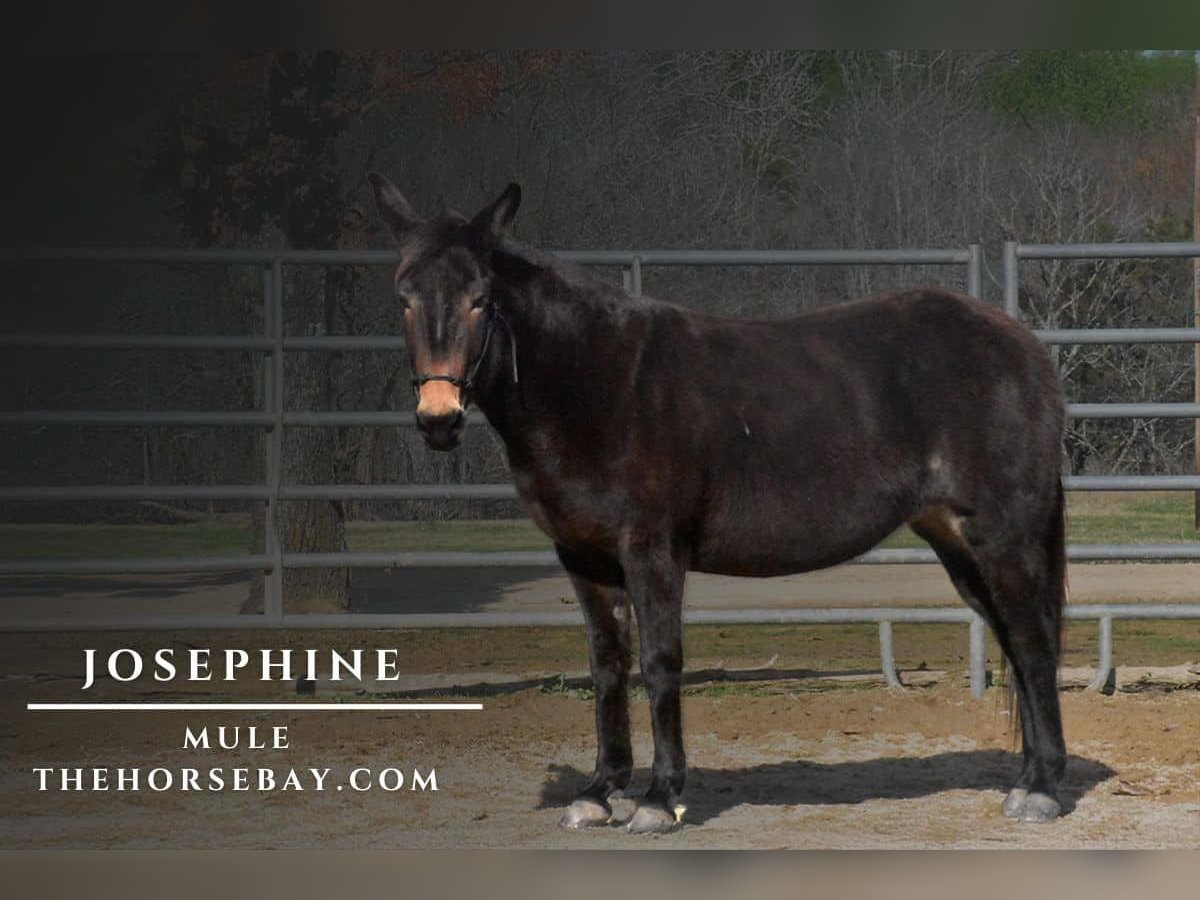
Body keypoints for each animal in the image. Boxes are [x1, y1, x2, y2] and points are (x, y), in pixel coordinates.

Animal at [366, 172, 1068, 833]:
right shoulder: (584, 557)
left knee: (1032, 643)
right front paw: (598, 793)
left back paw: (1042, 790)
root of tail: (1023, 346)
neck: (597, 383)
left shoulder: (652, 549)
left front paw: (658, 799)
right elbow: (607, 666)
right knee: (1014, 641)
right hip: (955, 539)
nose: (438, 419)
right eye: (402, 297)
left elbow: (659, 662)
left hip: (1001, 534)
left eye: (480, 299)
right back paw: (1028, 779)